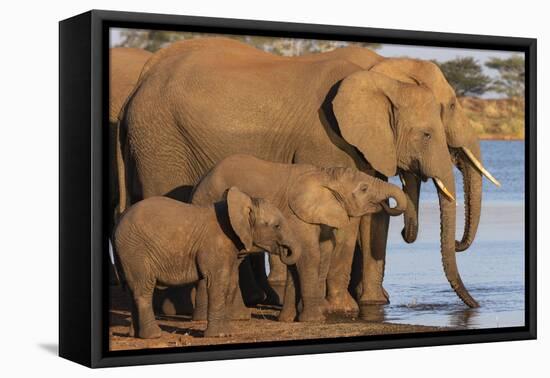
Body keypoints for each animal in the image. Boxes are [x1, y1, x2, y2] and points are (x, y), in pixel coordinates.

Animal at [113, 188, 302, 338]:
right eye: (277, 226)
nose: (285, 250)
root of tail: (117, 224)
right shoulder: (216, 243)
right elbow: (218, 281)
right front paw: (218, 335)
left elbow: (231, 282)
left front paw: (228, 332)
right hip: (135, 250)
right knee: (144, 289)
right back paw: (154, 336)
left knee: (133, 289)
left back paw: (135, 335)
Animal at [191, 154, 410, 322]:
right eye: (364, 189)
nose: (385, 203)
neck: (324, 174)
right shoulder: (295, 214)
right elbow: (309, 253)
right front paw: (315, 320)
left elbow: (318, 252)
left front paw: (288, 319)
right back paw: (237, 316)